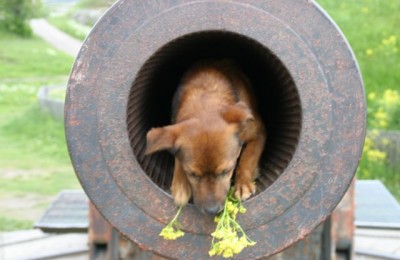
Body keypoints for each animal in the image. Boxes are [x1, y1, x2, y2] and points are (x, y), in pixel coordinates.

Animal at [145, 60, 266, 214]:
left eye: (226, 171)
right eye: (192, 174)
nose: (212, 211)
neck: (206, 98)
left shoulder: (258, 132)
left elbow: (248, 158)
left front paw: (243, 183)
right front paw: (180, 184)